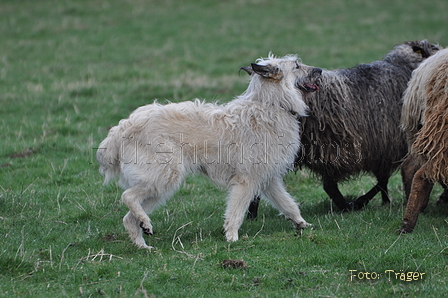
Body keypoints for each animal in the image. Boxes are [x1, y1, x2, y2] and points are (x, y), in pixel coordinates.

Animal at [98, 54, 322, 249]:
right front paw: (232, 237)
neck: (272, 104)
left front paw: (302, 224)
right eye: (297, 66)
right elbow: (236, 212)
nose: (320, 70)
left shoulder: (267, 178)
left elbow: (288, 203)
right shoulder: (246, 180)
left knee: (128, 218)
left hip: (158, 186)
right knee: (127, 196)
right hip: (163, 176)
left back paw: (142, 242)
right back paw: (144, 225)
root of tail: (122, 128)